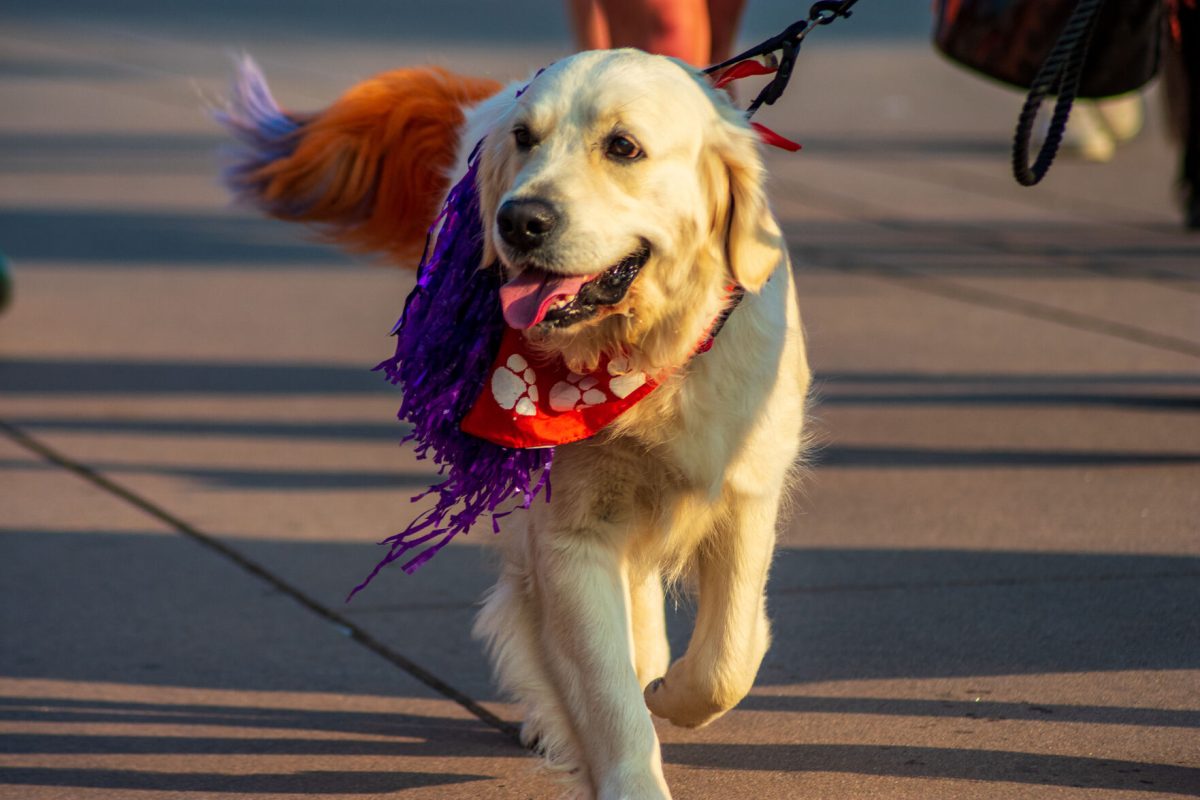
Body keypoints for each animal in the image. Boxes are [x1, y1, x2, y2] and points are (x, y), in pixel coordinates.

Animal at [222, 51, 811, 800]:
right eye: (527, 139)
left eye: (623, 147)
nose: (520, 220)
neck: (639, 358)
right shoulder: (567, 535)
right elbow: (607, 691)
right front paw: (635, 762)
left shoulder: (744, 489)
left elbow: (727, 659)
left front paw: (673, 693)